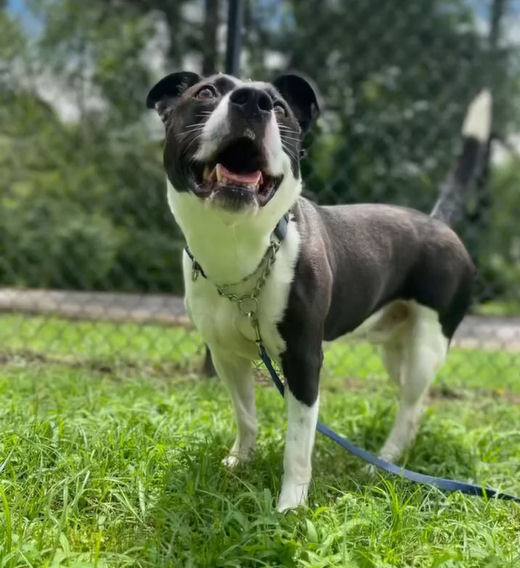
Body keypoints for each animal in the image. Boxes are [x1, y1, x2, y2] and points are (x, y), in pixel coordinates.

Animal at [146, 71, 492, 510]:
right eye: (206, 91)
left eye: (279, 107)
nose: (252, 100)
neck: (241, 249)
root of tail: (437, 222)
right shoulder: (225, 356)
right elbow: (245, 414)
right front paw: (239, 461)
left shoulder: (303, 361)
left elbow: (297, 444)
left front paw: (289, 508)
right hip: (395, 349)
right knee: (412, 405)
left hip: (426, 346)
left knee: (410, 405)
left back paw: (382, 462)